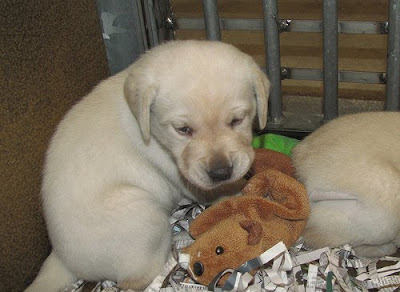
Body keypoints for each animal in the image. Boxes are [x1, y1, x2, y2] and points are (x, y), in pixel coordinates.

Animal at [26, 41, 270, 292]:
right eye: (182, 129)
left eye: (237, 120)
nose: (221, 172)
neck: (150, 128)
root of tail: (60, 259)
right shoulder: (183, 175)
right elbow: (219, 192)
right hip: (144, 213)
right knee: (136, 278)